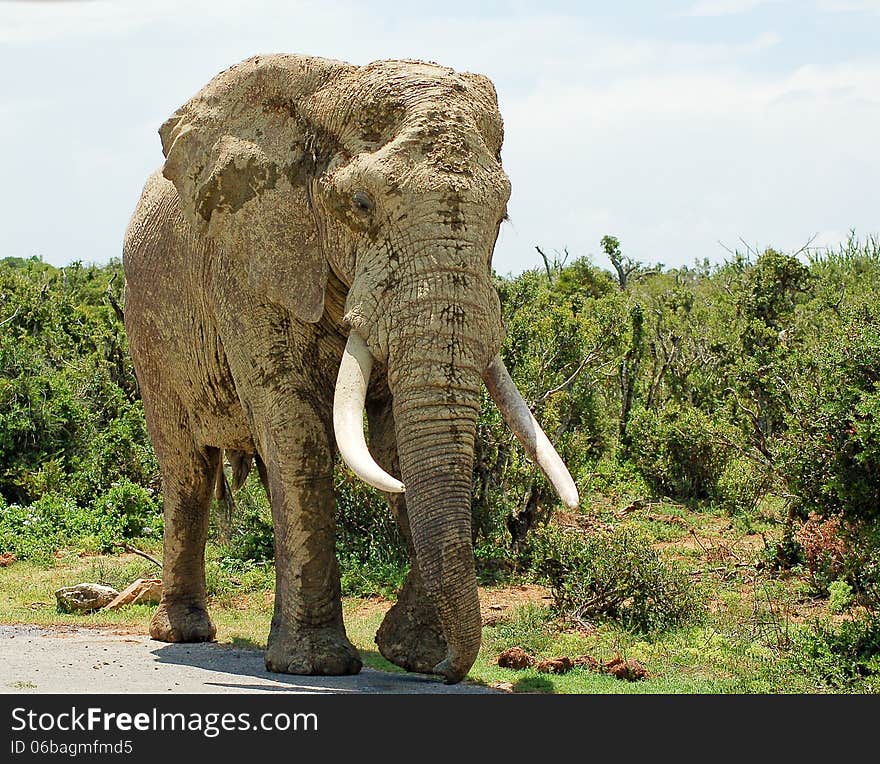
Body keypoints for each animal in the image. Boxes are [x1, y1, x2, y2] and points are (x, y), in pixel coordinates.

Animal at [124, 55, 576, 688]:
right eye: (361, 204)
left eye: (503, 213)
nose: (446, 671)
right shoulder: (247, 264)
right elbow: (296, 431)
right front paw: (316, 666)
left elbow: (395, 449)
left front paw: (409, 653)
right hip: (148, 330)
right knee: (186, 470)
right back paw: (184, 634)